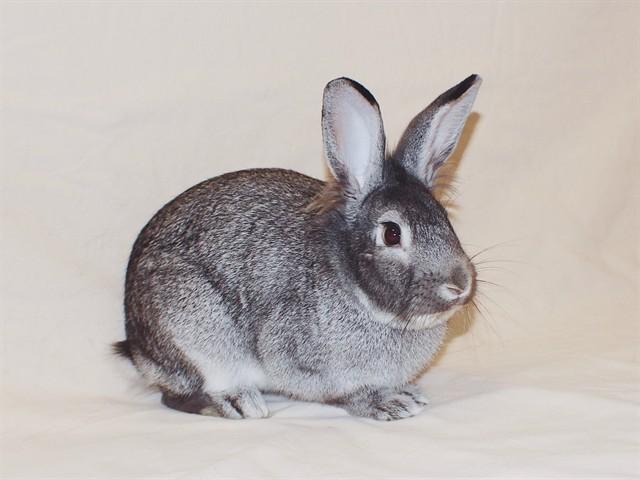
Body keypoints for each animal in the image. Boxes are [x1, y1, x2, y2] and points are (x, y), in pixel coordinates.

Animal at [114, 74, 482, 421]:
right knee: (177, 395)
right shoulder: (300, 361)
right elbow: (345, 394)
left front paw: (408, 394)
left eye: (444, 219)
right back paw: (239, 403)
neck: (357, 290)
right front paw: (390, 403)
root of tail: (136, 346)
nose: (459, 285)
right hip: (193, 335)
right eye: (392, 233)